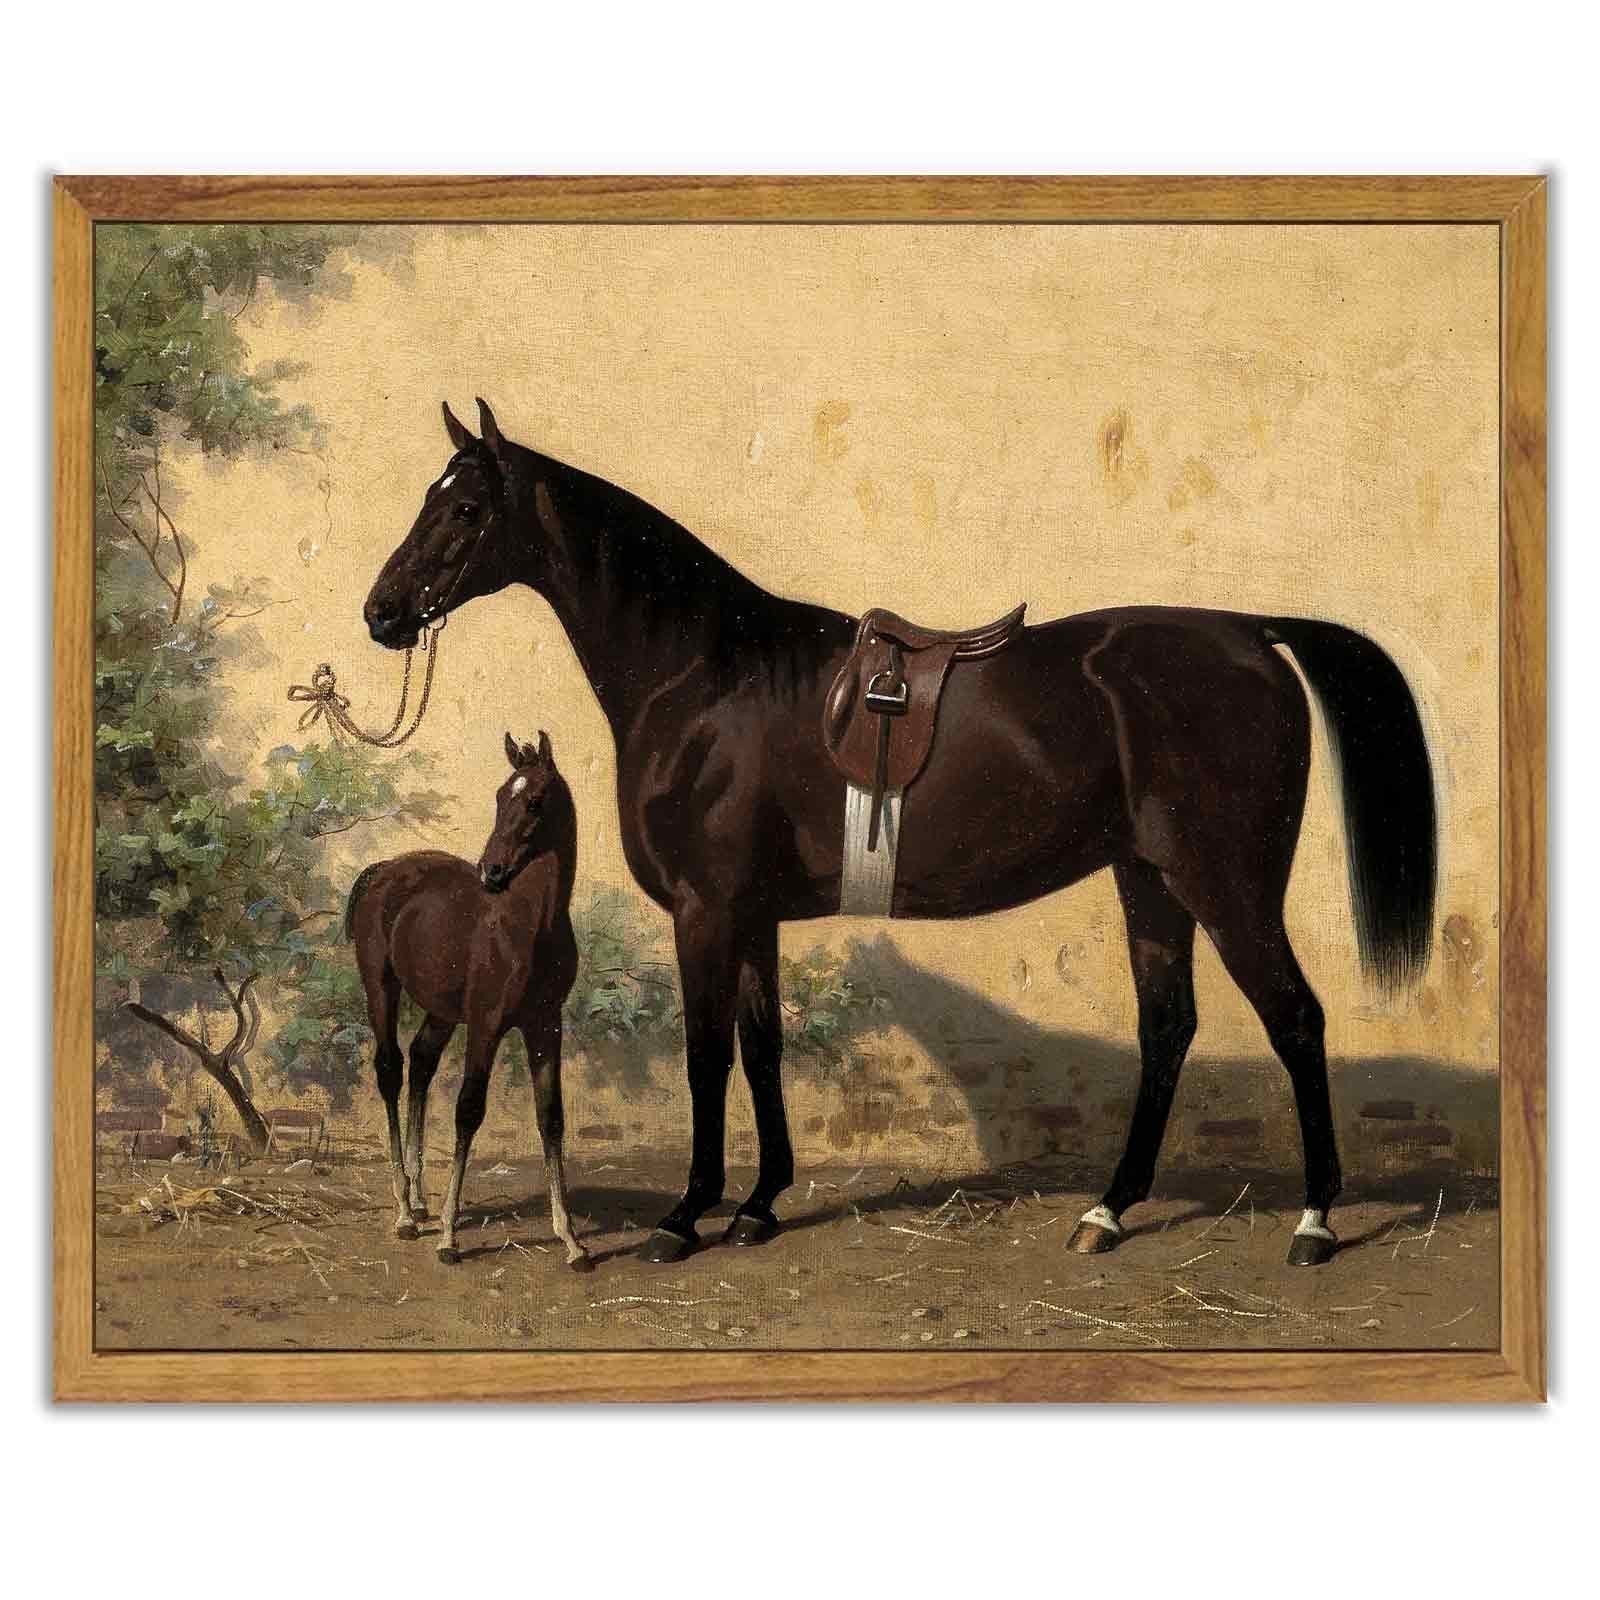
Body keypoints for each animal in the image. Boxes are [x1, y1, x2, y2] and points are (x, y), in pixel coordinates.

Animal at [345, 728, 593, 1270]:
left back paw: (420, 1199)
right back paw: (405, 1211)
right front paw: (449, 1237)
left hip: (441, 1011)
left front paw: (571, 1240)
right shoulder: (487, 1024)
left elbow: (552, 1117)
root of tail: (385, 870)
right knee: (392, 1069)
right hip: (381, 988)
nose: (492, 871)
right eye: (500, 797)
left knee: (421, 1061)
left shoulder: (546, 1025)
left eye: (535, 801)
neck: (529, 926)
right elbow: (468, 1109)